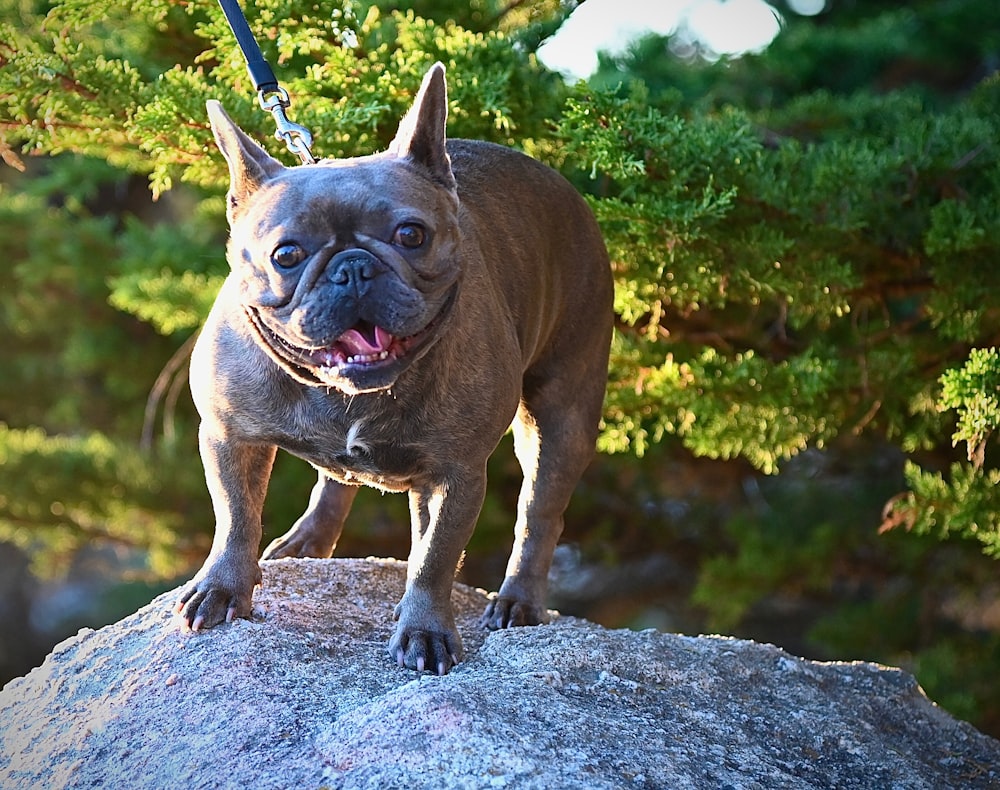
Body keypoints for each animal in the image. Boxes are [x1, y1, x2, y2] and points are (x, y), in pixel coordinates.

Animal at [176, 65, 612, 676]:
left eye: (411, 235)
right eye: (286, 255)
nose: (354, 267)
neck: (346, 394)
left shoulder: (455, 475)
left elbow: (435, 557)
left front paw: (425, 629)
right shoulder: (228, 435)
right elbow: (235, 517)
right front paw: (222, 588)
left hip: (561, 413)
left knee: (539, 508)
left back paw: (518, 600)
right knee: (335, 481)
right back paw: (309, 541)